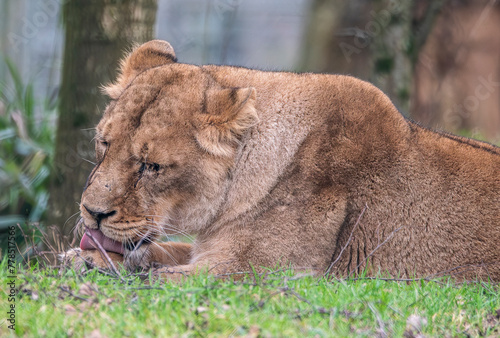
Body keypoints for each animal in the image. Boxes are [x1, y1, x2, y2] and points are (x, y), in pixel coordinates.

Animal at [62, 39, 500, 282]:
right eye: (104, 144)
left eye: (151, 166)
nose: (92, 213)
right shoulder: (209, 249)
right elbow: (162, 252)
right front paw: (85, 258)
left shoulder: (260, 270)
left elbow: (154, 281)